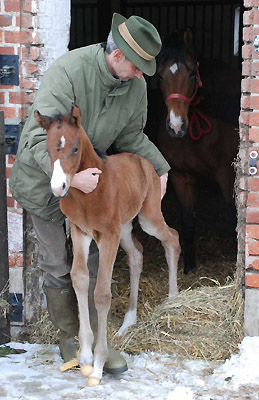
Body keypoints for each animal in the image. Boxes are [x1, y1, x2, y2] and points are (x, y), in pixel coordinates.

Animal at [155, 28, 241, 276]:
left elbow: (235, 217)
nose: (176, 127)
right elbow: (188, 221)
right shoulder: (181, 176)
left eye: (193, 73)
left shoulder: (227, 176)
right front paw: (189, 266)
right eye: (160, 76)